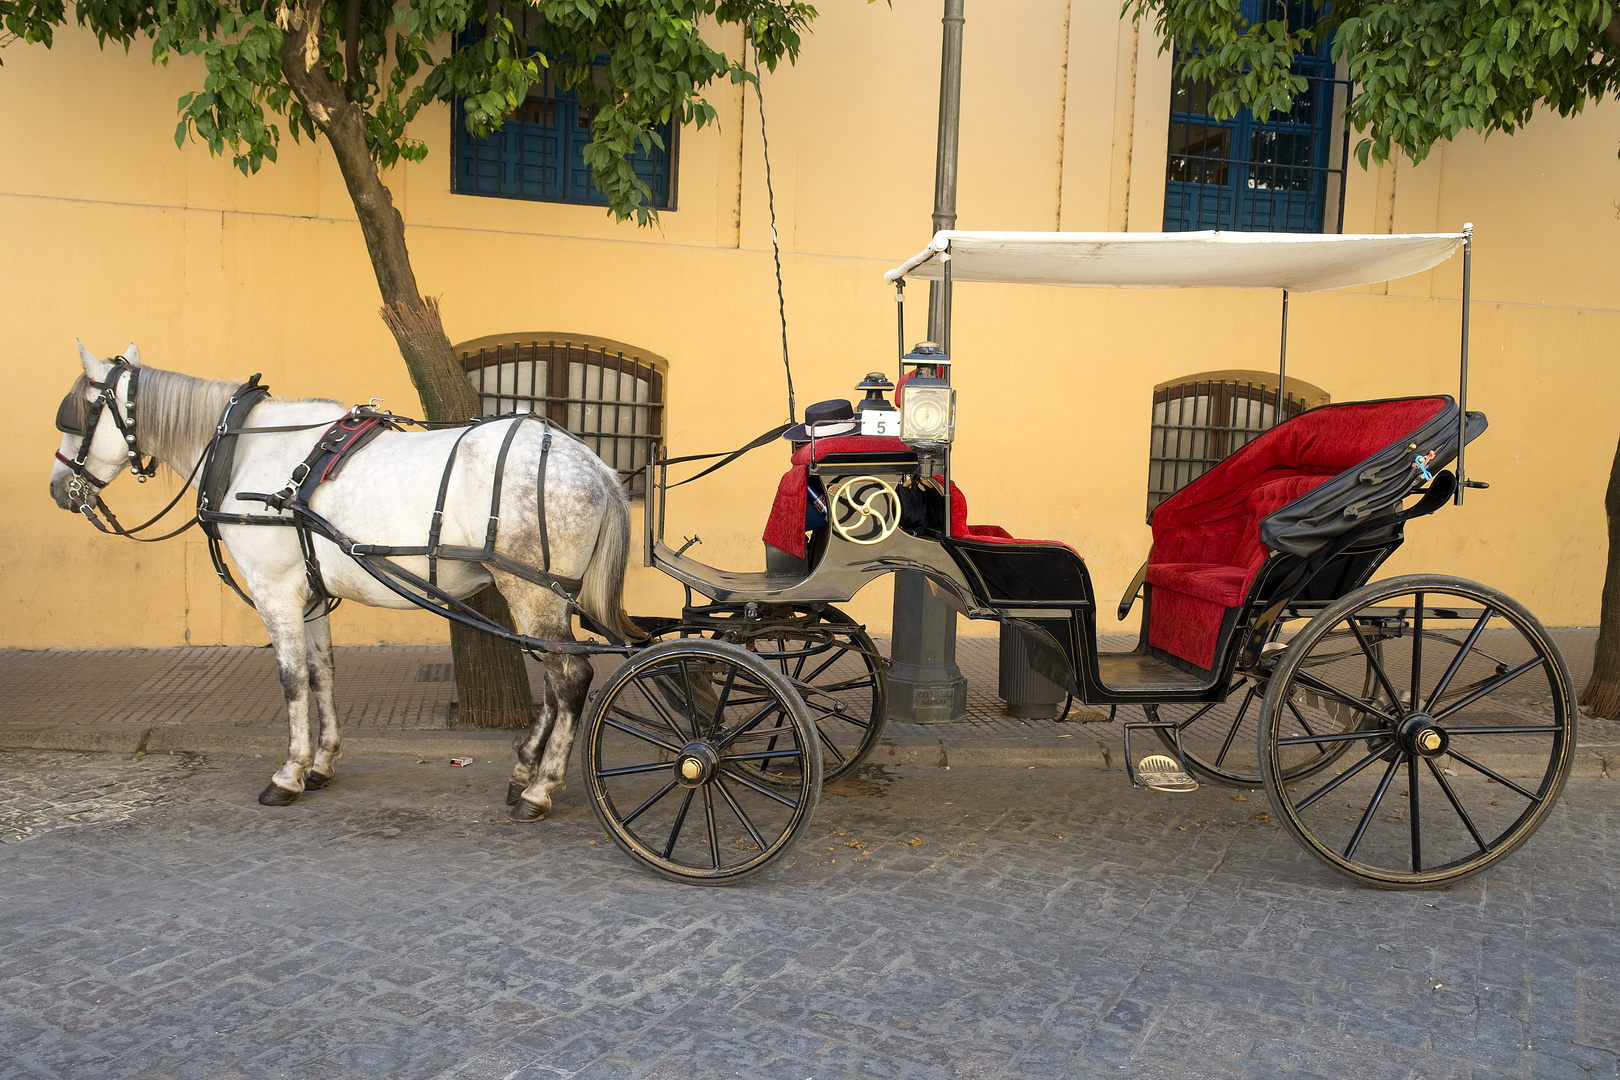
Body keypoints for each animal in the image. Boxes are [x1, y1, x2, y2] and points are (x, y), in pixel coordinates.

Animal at [45, 346, 638, 819]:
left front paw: (288, 773)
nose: (58, 488)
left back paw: (541, 786)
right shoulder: (309, 595)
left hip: (531, 588)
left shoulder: (274, 592)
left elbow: (291, 681)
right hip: (545, 595)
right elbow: (322, 673)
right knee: (555, 677)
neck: (244, 449)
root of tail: (593, 463)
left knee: (572, 677)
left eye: (76, 415)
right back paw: (524, 771)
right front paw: (322, 762)